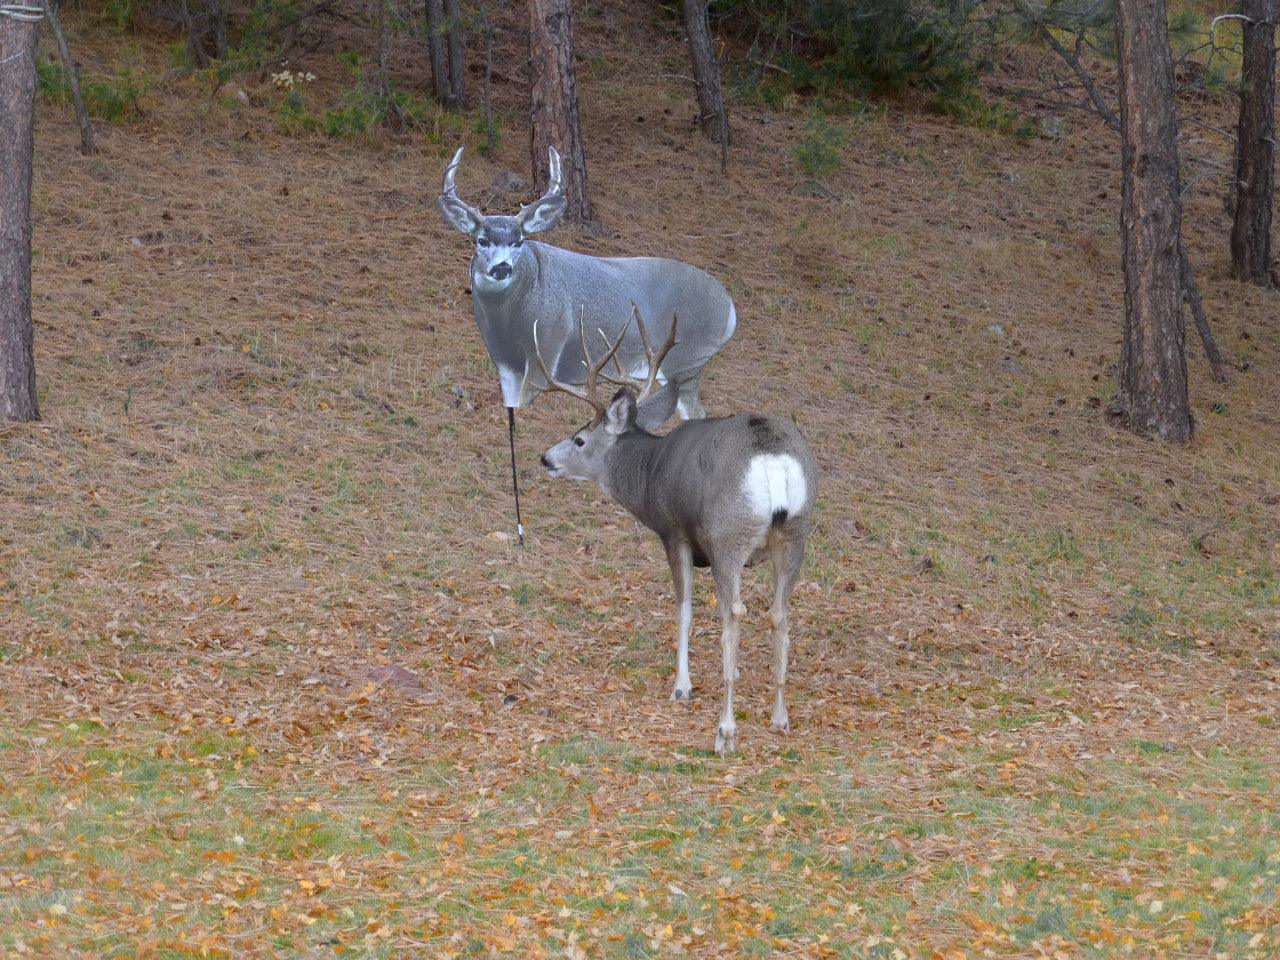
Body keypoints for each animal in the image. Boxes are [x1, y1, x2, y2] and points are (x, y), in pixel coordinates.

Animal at [535, 308, 816, 755]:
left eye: (579, 439)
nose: (545, 458)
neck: (651, 472)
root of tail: (772, 458)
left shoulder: (674, 534)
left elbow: (683, 610)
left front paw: (682, 686)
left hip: (727, 536)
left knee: (734, 612)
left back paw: (725, 731)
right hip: (796, 534)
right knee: (780, 613)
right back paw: (780, 718)